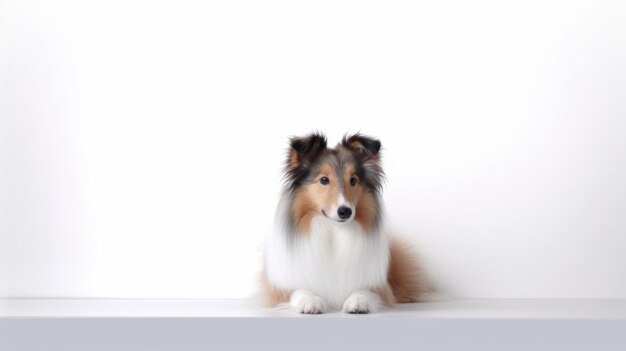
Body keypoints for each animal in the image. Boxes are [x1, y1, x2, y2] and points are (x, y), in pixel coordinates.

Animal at [260, 133, 428, 314]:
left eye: (353, 180)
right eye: (324, 180)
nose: (345, 211)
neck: (332, 230)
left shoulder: (379, 287)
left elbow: (365, 290)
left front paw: (358, 302)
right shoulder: (279, 289)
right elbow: (299, 290)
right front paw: (310, 302)